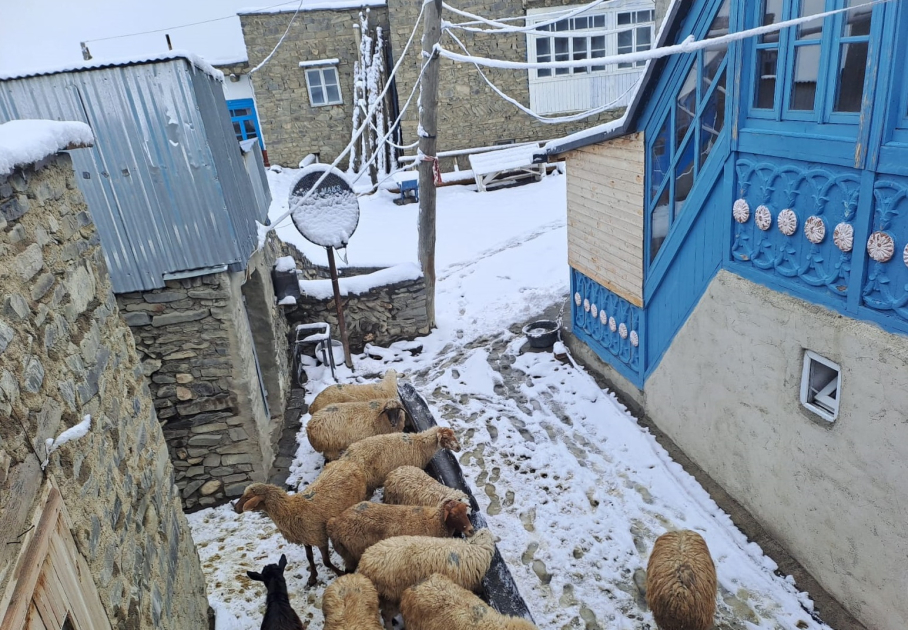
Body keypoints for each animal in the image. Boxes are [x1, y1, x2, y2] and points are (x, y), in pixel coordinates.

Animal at [234, 459, 368, 587]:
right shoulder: (306, 538)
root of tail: (348, 462)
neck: (292, 509)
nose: (235, 508)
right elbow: (310, 558)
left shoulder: (319, 537)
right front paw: (313, 578)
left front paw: (340, 573)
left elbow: (326, 562)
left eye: (248, 498)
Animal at [327, 499, 474, 571]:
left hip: (348, 555)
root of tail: (335, 523)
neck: (435, 521)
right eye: (453, 514)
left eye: (465, 511)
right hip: (354, 553)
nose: (471, 530)